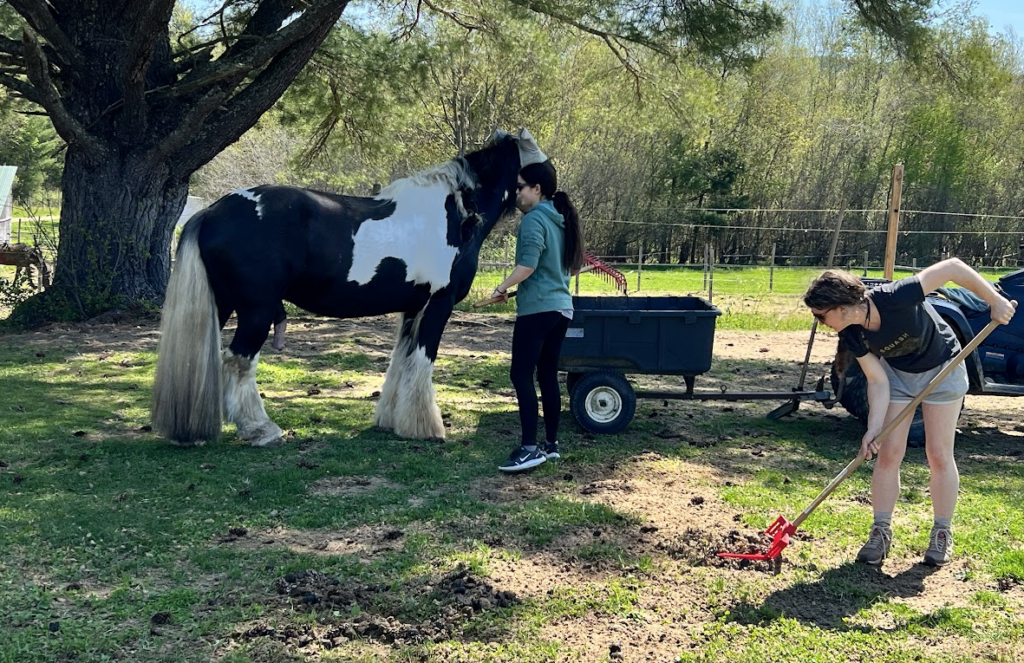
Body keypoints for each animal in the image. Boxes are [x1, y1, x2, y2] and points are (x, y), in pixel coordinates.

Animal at [151, 128, 548, 446]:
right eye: (541, 166)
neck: (456, 212)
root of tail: (212, 211)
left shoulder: (413, 308)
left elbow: (401, 362)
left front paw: (391, 421)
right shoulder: (439, 303)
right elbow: (422, 360)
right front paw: (425, 428)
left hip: (222, 303)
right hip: (256, 310)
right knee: (237, 361)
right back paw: (260, 429)